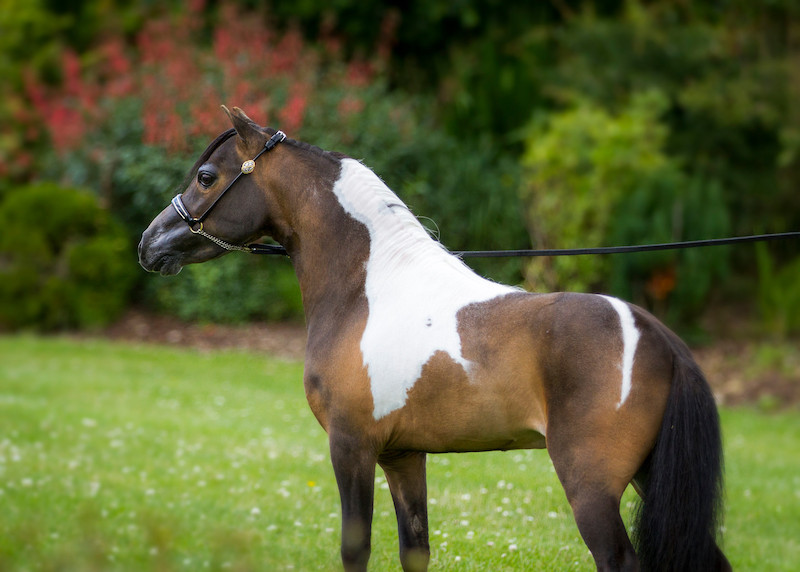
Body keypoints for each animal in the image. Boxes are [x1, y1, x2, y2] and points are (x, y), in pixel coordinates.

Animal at [138, 106, 731, 572]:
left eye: (207, 176)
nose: (149, 242)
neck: (369, 289)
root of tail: (658, 336)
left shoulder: (351, 446)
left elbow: (356, 549)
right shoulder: (404, 456)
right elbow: (414, 549)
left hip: (593, 488)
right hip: (650, 476)